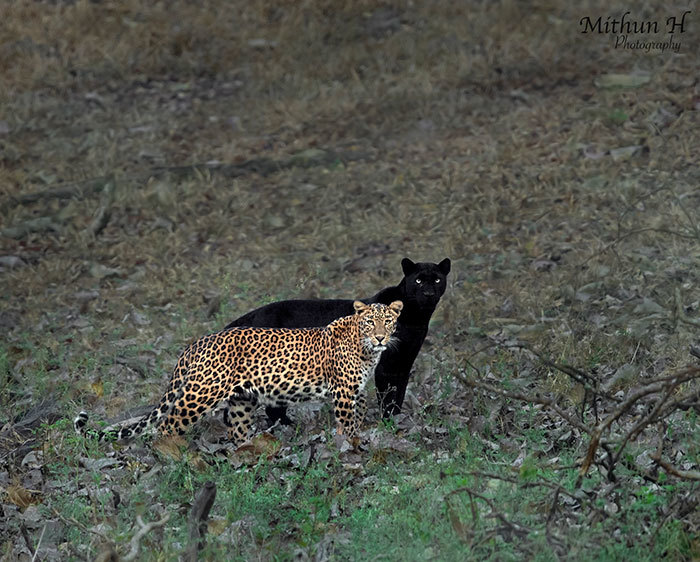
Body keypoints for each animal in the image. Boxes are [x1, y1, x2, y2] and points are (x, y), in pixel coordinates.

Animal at [74, 300, 402, 444]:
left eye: (388, 321)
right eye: (370, 322)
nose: (380, 338)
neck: (366, 349)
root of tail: (195, 344)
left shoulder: (357, 391)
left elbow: (358, 416)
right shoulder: (344, 391)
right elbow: (346, 423)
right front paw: (349, 447)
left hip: (242, 400)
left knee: (236, 430)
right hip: (200, 394)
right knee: (167, 425)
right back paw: (172, 455)